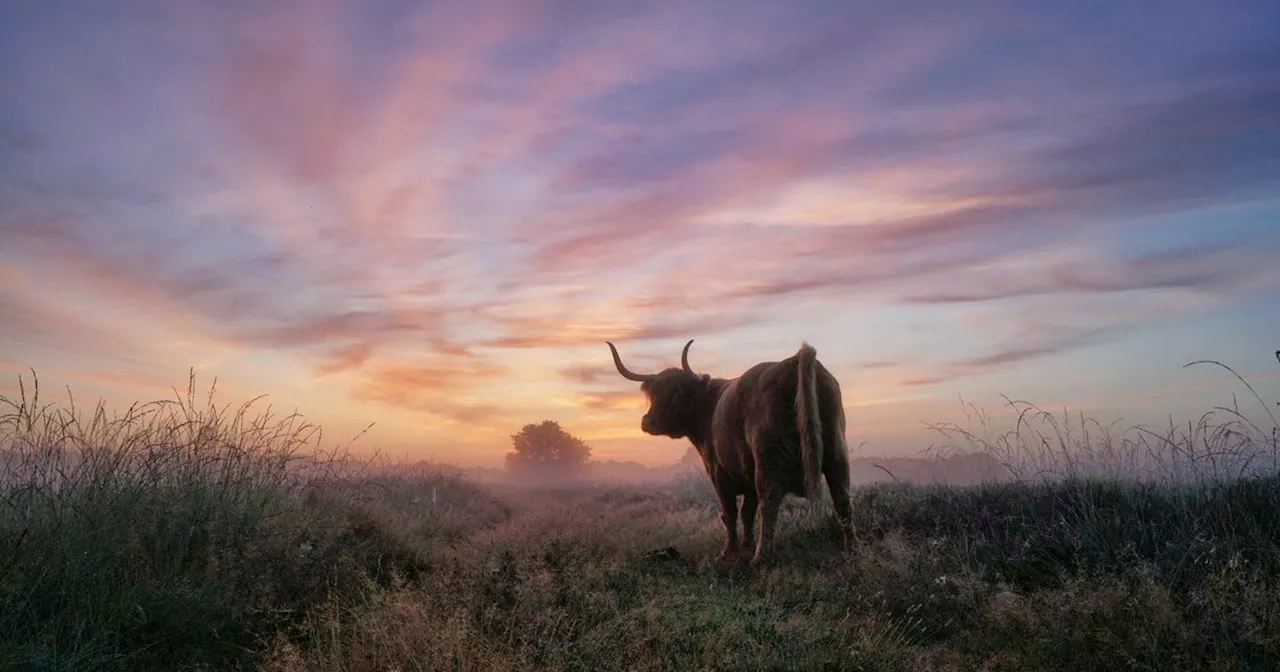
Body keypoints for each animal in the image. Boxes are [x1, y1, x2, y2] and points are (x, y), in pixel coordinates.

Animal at [606, 337, 855, 563]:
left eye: (676, 394)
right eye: (653, 394)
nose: (648, 422)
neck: (708, 406)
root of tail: (793, 360)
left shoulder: (719, 474)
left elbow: (730, 513)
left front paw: (729, 550)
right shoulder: (747, 474)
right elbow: (747, 512)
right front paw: (746, 544)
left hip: (767, 463)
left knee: (769, 502)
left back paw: (761, 557)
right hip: (837, 456)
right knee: (842, 498)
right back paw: (851, 549)